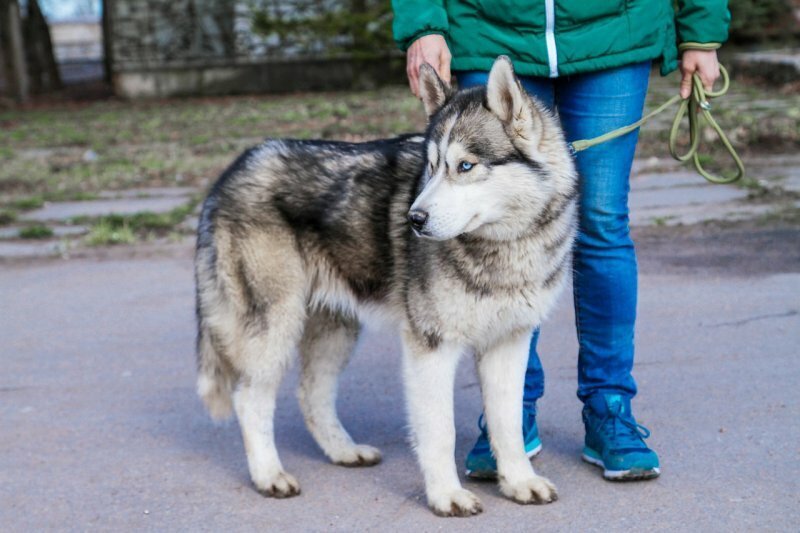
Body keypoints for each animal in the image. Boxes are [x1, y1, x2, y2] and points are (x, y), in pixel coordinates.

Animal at [197, 57, 580, 516]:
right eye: (430, 166)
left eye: (465, 166)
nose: (413, 219)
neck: (502, 248)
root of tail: (232, 169)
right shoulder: (431, 346)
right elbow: (440, 430)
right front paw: (446, 495)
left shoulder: (509, 343)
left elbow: (508, 424)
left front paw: (519, 482)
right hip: (276, 325)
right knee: (249, 399)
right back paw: (269, 476)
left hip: (335, 329)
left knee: (311, 394)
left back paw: (344, 452)